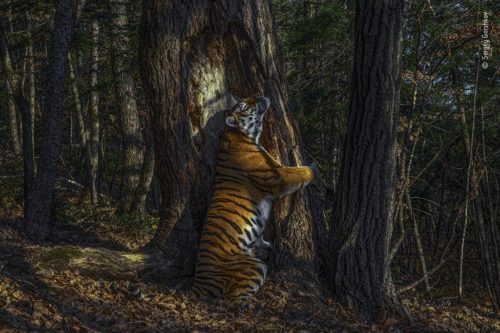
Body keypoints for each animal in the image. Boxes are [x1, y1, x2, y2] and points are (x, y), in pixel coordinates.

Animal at [191, 94, 316, 300]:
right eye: (243, 105)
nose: (258, 95)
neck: (239, 135)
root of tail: (198, 283)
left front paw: (267, 243)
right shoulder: (277, 175)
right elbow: (299, 172)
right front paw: (315, 168)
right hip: (254, 267)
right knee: (234, 298)